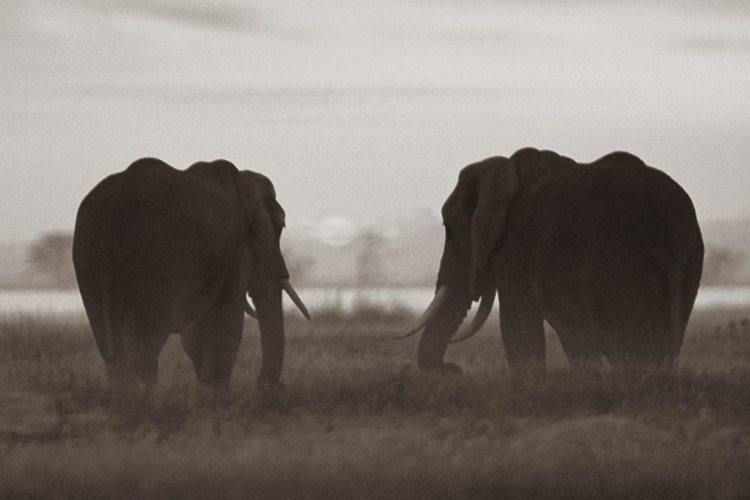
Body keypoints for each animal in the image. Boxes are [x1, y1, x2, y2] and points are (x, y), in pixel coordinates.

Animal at [73, 158, 312, 388]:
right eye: (280, 226)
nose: (271, 386)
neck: (242, 178)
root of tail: (118, 201)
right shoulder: (237, 247)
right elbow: (228, 315)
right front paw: (216, 393)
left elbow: (196, 331)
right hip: (154, 261)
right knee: (146, 343)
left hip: (87, 254)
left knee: (110, 344)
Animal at [402, 148, 708, 376]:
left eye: (449, 229)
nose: (452, 369)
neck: (503, 169)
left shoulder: (513, 245)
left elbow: (519, 325)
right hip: (689, 260)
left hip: (624, 267)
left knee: (633, 348)